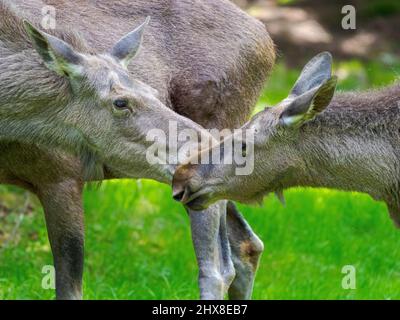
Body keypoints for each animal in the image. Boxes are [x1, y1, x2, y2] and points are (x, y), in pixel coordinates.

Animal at [0, 0, 276, 300]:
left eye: (154, 92)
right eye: (120, 102)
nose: (208, 147)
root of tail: (267, 43)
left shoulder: (62, 176)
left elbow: (70, 289)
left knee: (216, 270)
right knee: (248, 246)